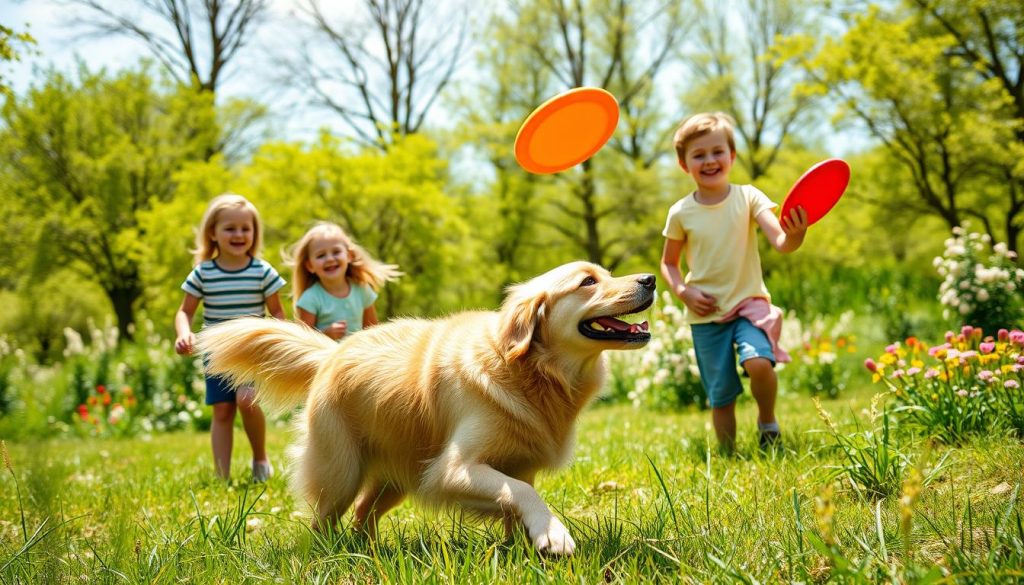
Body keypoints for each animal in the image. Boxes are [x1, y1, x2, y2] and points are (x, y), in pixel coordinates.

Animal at [195, 261, 651, 553]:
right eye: (588, 281)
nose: (649, 279)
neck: (530, 371)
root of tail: (332, 352)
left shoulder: (517, 465)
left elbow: (515, 500)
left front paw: (521, 547)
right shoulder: (451, 469)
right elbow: (521, 494)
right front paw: (552, 533)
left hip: (397, 477)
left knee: (363, 514)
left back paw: (367, 553)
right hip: (341, 471)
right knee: (324, 518)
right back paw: (329, 555)